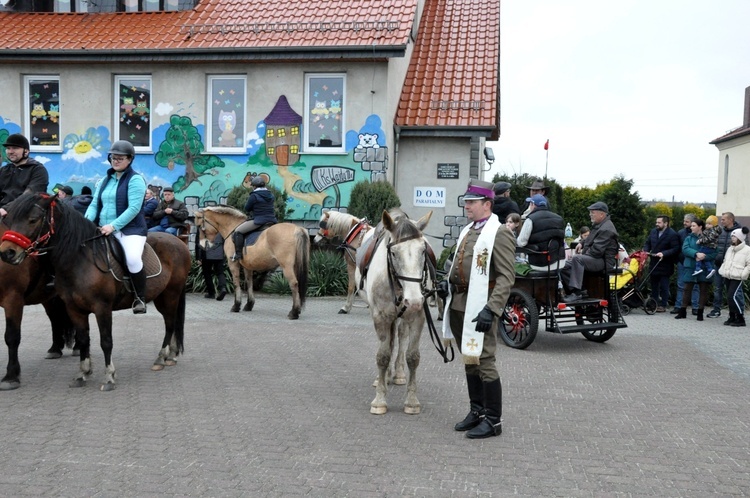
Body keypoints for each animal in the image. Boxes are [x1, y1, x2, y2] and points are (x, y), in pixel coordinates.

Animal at [0, 193, 191, 392]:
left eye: (33, 219)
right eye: (9, 220)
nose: (7, 253)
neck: (80, 260)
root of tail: (179, 242)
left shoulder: (102, 308)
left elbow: (106, 341)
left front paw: (109, 377)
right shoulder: (74, 308)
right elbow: (84, 339)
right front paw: (82, 374)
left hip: (170, 296)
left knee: (169, 324)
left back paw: (161, 357)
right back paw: (171, 356)